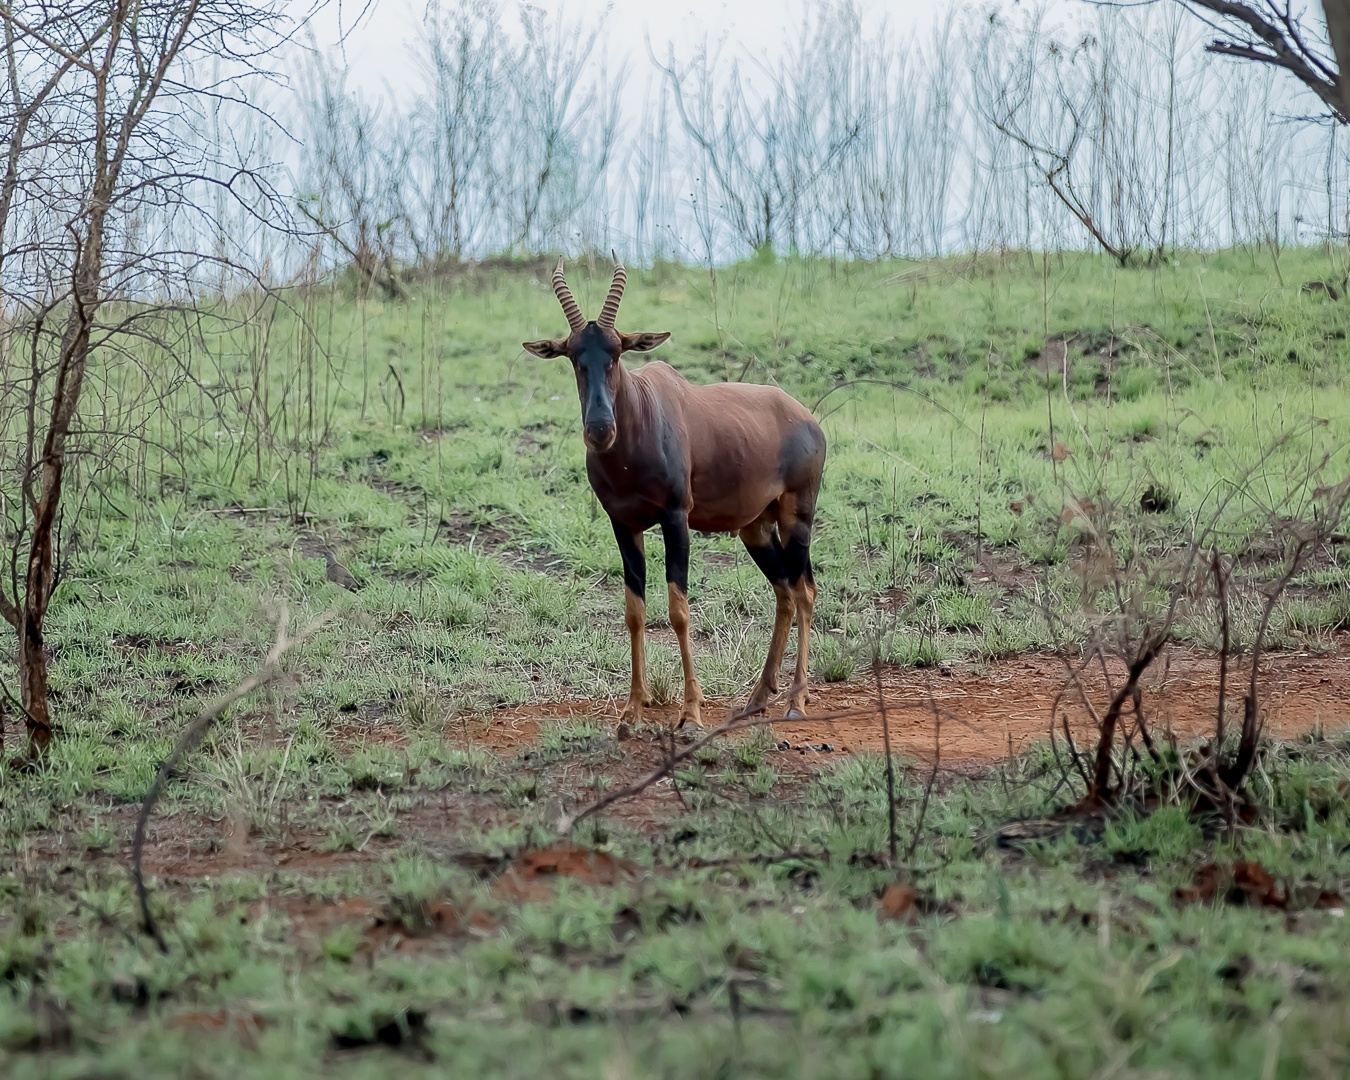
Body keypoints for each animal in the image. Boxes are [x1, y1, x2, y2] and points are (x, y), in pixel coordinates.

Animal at [523, 256, 820, 723]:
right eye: (572, 355)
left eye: (617, 352)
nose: (599, 430)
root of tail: (806, 418)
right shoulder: (623, 524)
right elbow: (634, 611)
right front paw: (631, 711)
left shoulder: (675, 518)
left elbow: (679, 610)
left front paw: (691, 712)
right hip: (756, 527)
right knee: (785, 592)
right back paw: (757, 698)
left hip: (797, 516)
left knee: (805, 591)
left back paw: (795, 702)